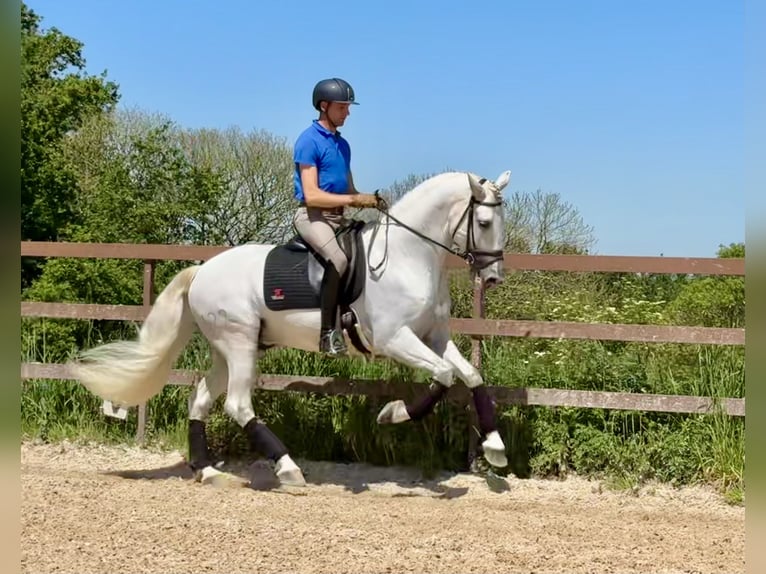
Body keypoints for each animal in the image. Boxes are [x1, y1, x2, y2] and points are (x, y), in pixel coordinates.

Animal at [72, 170, 512, 486]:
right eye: (483, 221)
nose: (492, 278)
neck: (407, 257)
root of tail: (202, 271)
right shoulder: (395, 339)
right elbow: (444, 375)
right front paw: (393, 413)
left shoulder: (433, 337)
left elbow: (471, 375)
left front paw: (494, 446)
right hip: (239, 343)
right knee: (237, 405)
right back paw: (287, 468)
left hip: (227, 350)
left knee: (200, 399)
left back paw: (208, 471)